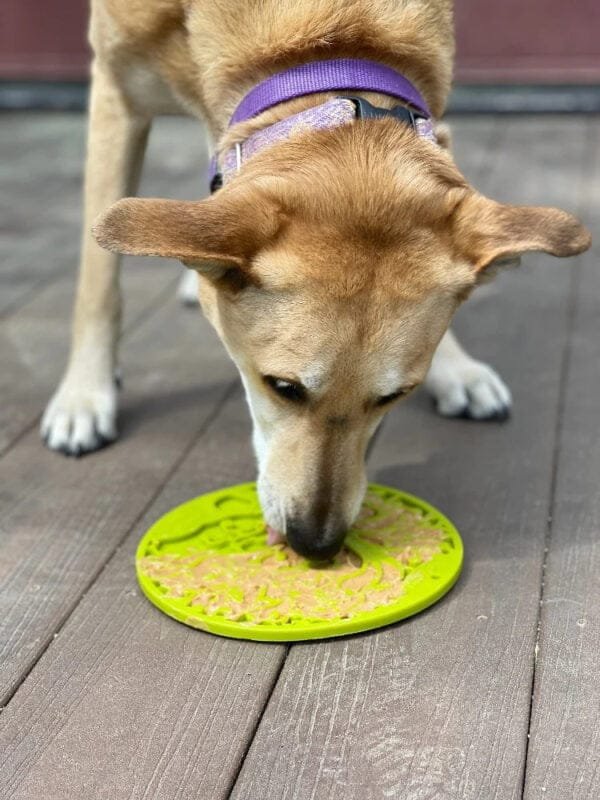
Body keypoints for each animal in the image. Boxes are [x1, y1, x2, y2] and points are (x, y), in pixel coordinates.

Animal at [42, 0, 592, 560]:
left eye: (395, 396)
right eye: (282, 387)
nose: (316, 545)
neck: (320, 43)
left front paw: (455, 367)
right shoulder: (116, 95)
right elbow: (98, 281)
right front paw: (84, 395)